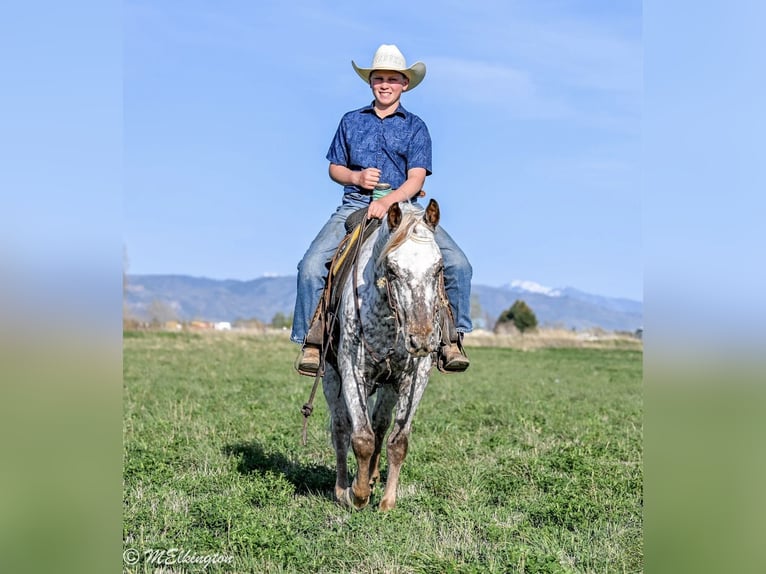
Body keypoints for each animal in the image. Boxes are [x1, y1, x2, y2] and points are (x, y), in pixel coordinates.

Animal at [321, 198, 443, 511]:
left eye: (438, 268)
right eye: (392, 268)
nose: (421, 339)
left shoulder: (416, 377)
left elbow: (396, 441)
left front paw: (387, 502)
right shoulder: (352, 371)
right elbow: (361, 438)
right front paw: (357, 493)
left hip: (388, 385)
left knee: (379, 425)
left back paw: (374, 476)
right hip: (330, 378)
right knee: (341, 427)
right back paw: (342, 487)